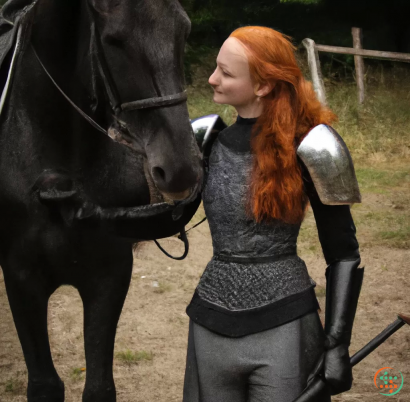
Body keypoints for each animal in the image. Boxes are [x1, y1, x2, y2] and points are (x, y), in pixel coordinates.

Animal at [0, 0, 202, 402]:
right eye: (113, 40)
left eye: (183, 30)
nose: (181, 170)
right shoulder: (21, 277)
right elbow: (44, 385)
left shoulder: (109, 274)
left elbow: (99, 387)